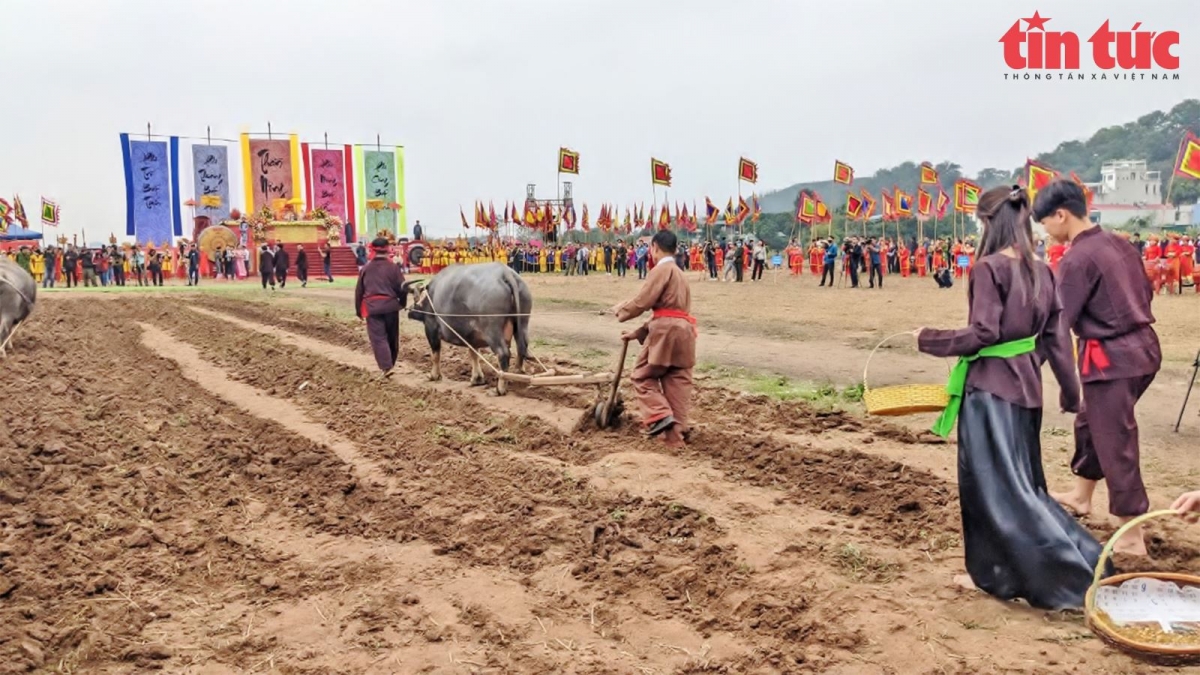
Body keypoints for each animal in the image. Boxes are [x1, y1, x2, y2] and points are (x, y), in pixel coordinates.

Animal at [403, 260, 530, 391]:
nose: (410, 311)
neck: (431, 298)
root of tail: (505, 273)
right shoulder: (472, 336)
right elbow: (474, 354)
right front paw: (477, 379)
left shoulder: (431, 328)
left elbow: (435, 354)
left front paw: (434, 376)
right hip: (523, 323)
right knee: (522, 347)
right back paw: (518, 374)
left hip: (492, 331)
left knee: (503, 353)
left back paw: (500, 389)